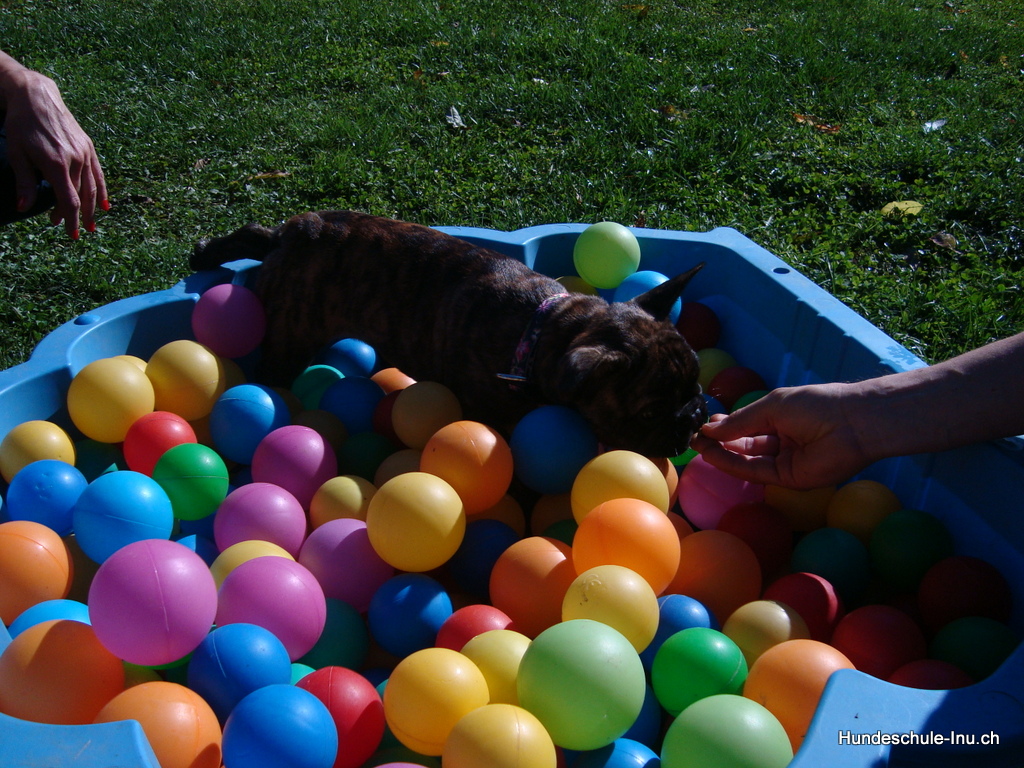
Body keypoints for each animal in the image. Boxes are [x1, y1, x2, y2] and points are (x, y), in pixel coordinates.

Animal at [190, 210, 706, 457]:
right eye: (649, 413)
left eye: (697, 383)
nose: (694, 417)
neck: (545, 330)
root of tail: (294, 238)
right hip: (289, 340)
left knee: (255, 230)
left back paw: (206, 253)